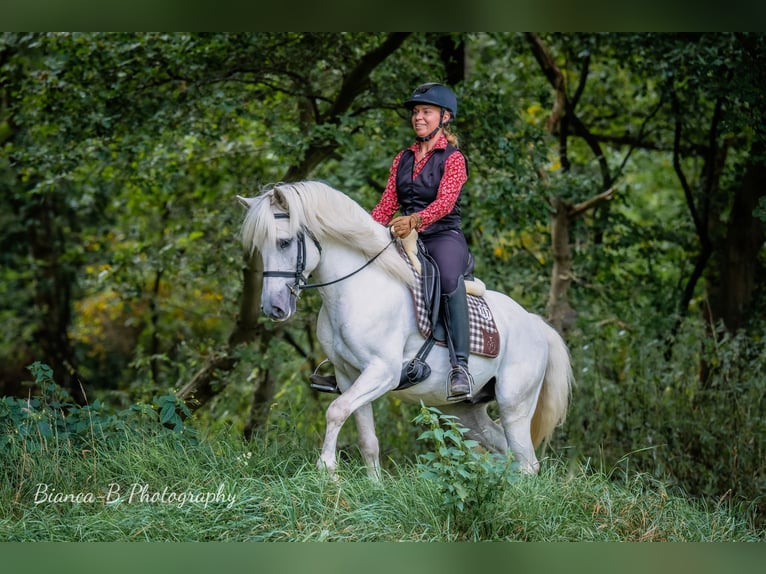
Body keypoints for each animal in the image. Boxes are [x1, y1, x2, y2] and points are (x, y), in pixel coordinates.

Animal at [237, 180, 573, 478]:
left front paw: (327, 469)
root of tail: (535, 324)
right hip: (465, 410)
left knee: (526, 462)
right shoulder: (349, 376)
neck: (358, 288)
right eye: (260, 248)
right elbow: (366, 438)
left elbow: (335, 410)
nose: (273, 308)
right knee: (505, 449)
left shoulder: (382, 372)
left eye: (284, 242)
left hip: (514, 404)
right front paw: (371, 487)